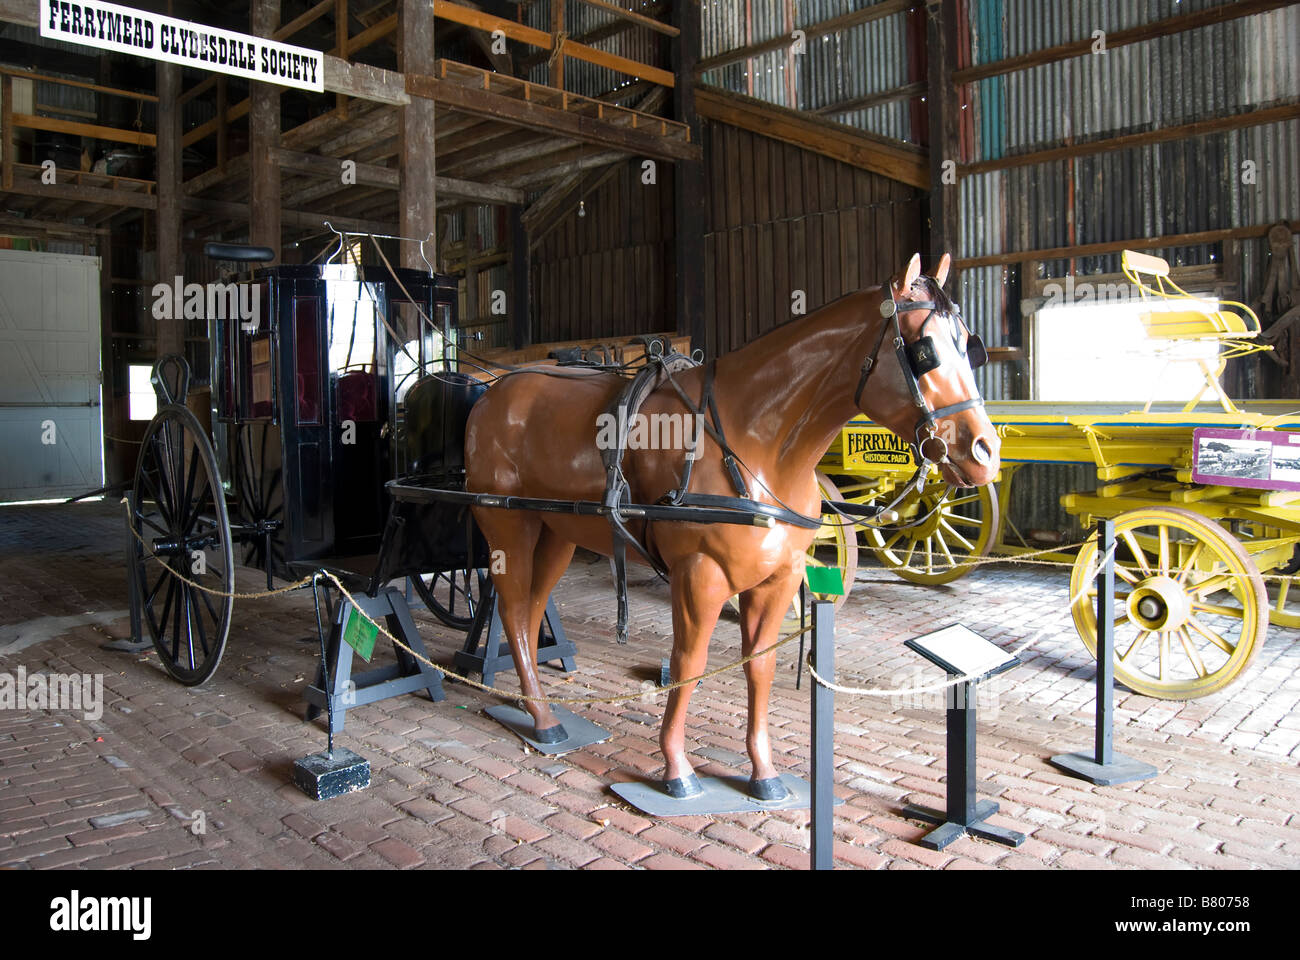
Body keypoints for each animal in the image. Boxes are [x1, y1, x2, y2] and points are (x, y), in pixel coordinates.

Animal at [464, 252, 1000, 800]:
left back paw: (536, 705)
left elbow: (759, 664)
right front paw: (677, 767)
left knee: (530, 612)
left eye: (969, 346)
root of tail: (494, 392)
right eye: (923, 349)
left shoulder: (780, 577)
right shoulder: (699, 573)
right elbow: (689, 662)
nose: (984, 451)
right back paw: (543, 717)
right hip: (507, 527)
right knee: (512, 608)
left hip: (555, 534)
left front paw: (763, 772)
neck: (756, 440)